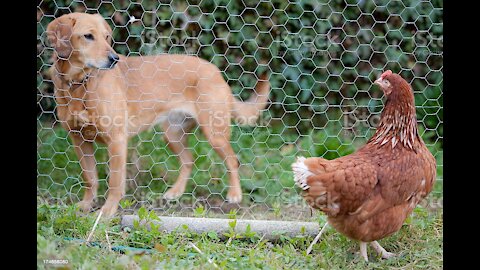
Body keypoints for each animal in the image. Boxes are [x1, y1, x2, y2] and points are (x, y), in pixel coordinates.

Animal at [47, 13, 270, 218]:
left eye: (106, 36)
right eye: (88, 36)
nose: (114, 59)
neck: (78, 84)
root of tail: (215, 71)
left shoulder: (116, 140)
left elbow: (115, 183)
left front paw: (108, 211)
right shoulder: (79, 139)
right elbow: (90, 177)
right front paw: (86, 205)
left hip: (215, 134)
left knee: (233, 161)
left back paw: (235, 194)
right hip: (172, 135)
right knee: (189, 160)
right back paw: (175, 192)